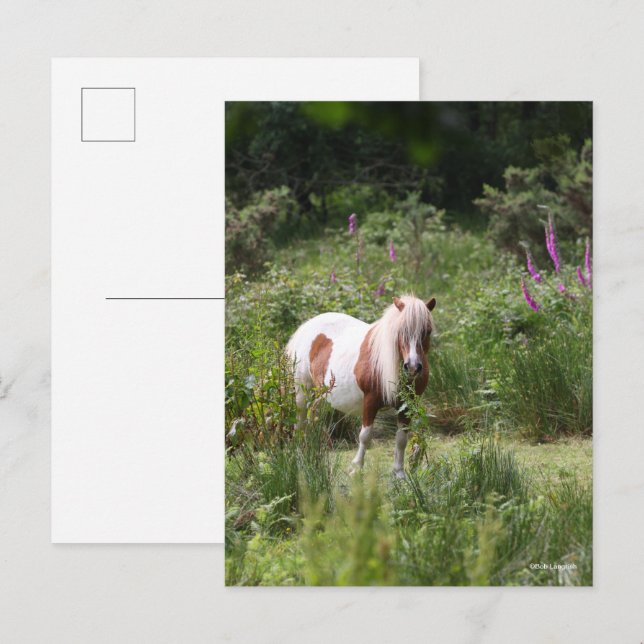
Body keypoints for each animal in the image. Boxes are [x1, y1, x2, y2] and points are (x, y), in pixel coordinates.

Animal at [286, 294, 436, 478]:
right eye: (401, 331)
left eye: (427, 331)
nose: (413, 367)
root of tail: (306, 326)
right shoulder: (370, 402)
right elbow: (365, 435)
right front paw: (356, 468)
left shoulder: (406, 406)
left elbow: (401, 438)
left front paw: (399, 472)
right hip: (303, 390)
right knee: (300, 421)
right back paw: (299, 452)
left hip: (322, 395)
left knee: (314, 415)